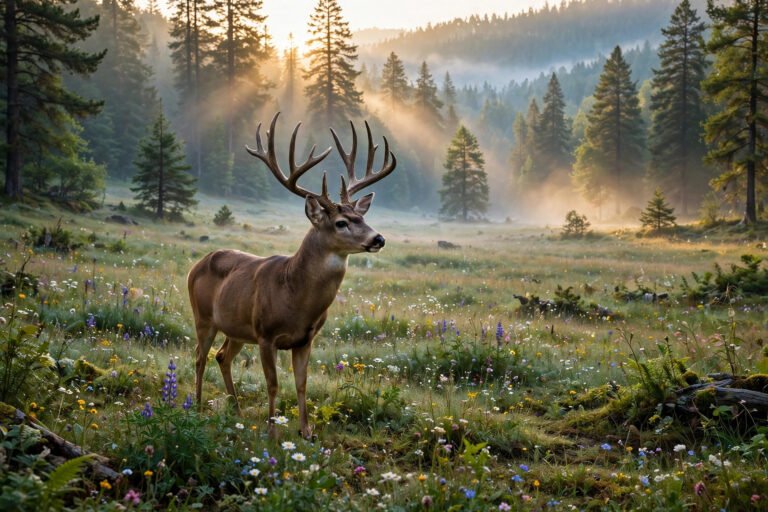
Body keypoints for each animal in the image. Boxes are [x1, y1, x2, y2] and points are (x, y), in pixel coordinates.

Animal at [187, 112, 396, 437]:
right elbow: (273, 385)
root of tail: (197, 264)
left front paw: (306, 432)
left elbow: (301, 384)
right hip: (204, 317)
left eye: (362, 217)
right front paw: (272, 433)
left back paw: (236, 410)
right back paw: (196, 406)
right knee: (199, 356)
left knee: (222, 356)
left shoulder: (305, 339)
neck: (296, 298)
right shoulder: (266, 334)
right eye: (341, 222)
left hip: (236, 328)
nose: (379, 239)